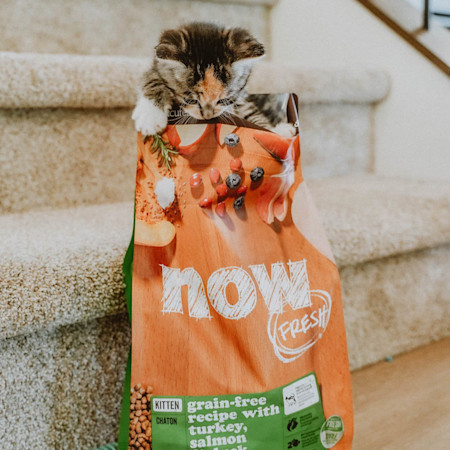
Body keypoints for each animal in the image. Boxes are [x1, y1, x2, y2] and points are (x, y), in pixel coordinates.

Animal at [132, 22, 298, 137]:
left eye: (223, 100)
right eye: (191, 100)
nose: (207, 116)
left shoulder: (240, 94)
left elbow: (248, 109)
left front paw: (274, 130)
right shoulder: (156, 66)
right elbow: (152, 78)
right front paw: (150, 116)